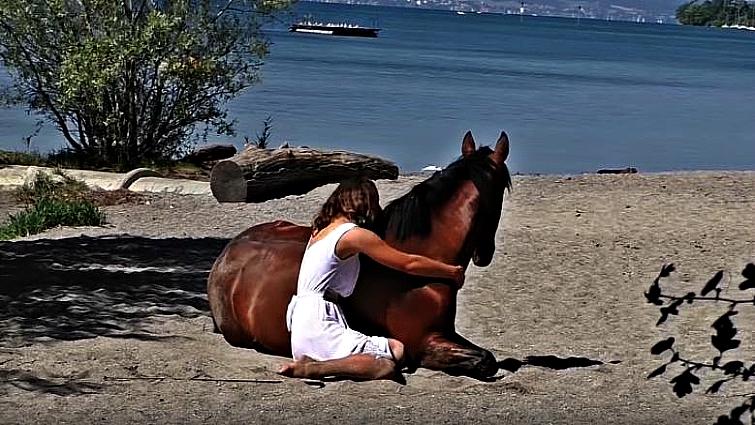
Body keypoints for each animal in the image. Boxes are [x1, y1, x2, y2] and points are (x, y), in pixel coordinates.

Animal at [207, 130, 511, 379]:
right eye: (502, 193)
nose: (485, 255)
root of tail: (227, 254)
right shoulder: (425, 343)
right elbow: (486, 361)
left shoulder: (447, 333)